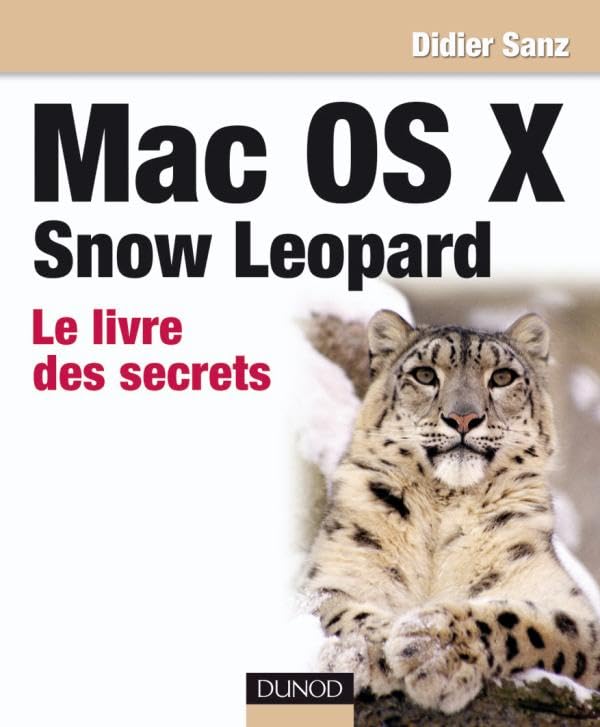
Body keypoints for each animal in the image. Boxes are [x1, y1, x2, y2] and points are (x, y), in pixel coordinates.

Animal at [304, 308, 600, 714]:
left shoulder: (568, 605)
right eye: (425, 374)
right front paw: (366, 648)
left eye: (502, 377)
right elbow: (331, 605)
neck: (443, 506)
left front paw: (433, 646)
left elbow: (528, 622)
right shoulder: (331, 571)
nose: (463, 418)